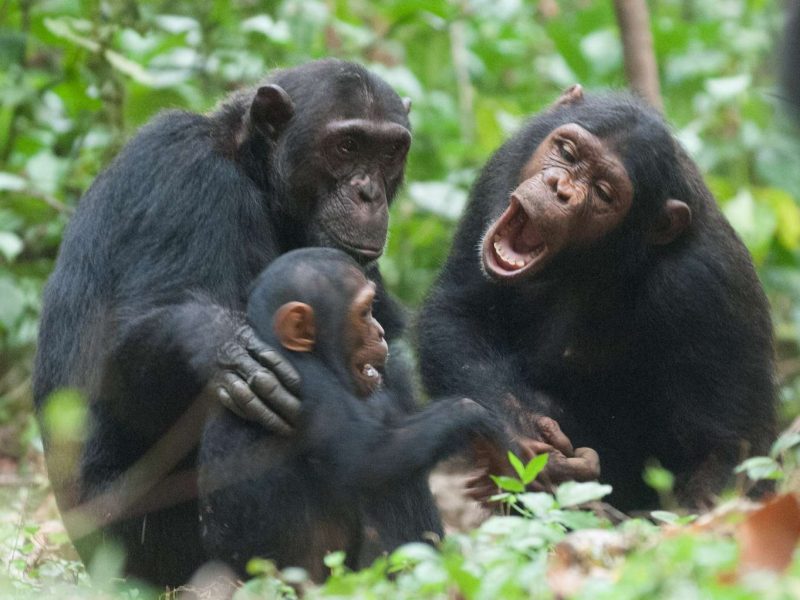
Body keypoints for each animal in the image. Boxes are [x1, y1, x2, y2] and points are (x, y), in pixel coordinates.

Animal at [34, 59, 416, 584]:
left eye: (390, 151)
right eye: (347, 146)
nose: (369, 192)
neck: (255, 175)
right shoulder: (185, 177)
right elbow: (129, 353)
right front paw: (220, 344)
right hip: (141, 551)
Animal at [418, 88, 776, 510]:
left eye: (604, 193)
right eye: (568, 153)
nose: (560, 188)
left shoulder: (702, 285)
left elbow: (727, 455)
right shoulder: (499, 172)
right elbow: (459, 311)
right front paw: (520, 431)